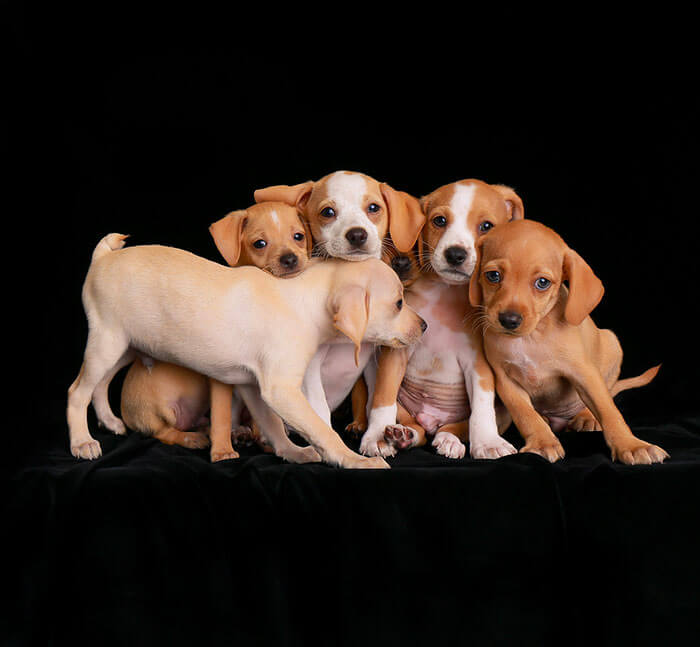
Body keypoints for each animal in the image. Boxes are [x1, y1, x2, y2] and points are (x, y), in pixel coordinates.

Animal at [67, 235, 426, 468]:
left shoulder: (252, 385)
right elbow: (321, 429)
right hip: (108, 341)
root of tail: (103, 257)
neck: (303, 297)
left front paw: (292, 452)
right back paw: (82, 441)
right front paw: (350, 459)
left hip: (126, 346)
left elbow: (273, 426)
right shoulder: (280, 389)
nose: (424, 326)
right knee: (77, 391)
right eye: (398, 303)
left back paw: (110, 421)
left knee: (99, 384)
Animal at [117, 201, 312, 450]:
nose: (289, 259)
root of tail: (124, 411)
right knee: (164, 432)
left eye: (299, 236)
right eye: (260, 244)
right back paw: (194, 438)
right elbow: (229, 411)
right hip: (158, 411)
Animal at [358, 180, 524, 458]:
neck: (443, 295)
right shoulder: (396, 353)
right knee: (418, 430)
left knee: (454, 427)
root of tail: (432, 419)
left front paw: (488, 442)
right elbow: (382, 399)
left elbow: (481, 409)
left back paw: (449, 440)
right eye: (439, 220)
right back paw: (403, 435)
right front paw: (377, 436)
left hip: (503, 412)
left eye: (486, 226)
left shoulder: (478, 365)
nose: (455, 254)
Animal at [468, 221, 664, 466]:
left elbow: (608, 410)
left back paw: (586, 417)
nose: (509, 320)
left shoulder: (584, 373)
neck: (531, 338)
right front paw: (542, 442)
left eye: (542, 283)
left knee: (605, 393)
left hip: (612, 343)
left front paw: (631, 445)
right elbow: (526, 416)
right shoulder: (506, 382)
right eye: (493, 275)